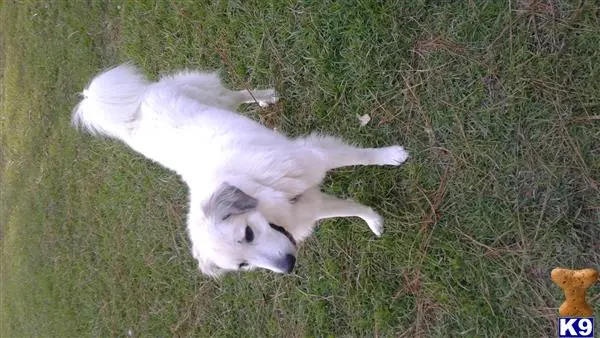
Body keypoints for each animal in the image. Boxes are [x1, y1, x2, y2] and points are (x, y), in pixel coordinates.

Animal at [70, 63, 408, 278]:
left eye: (247, 233)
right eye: (243, 266)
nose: (288, 266)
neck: (256, 185)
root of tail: (133, 115)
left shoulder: (314, 156)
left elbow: (362, 157)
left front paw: (392, 155)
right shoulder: (307, 206)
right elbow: (352, 209)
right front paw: (375, 222)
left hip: (212, 94)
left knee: (236, 95)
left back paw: (265, 97)